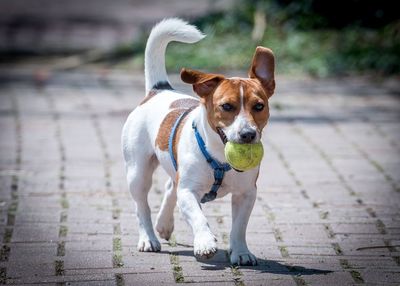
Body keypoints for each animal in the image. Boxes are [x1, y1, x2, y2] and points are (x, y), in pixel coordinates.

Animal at [120, 18, 274, 266]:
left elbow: (239, 227)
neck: (220, 157)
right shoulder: (188, 192)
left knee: (169, 186)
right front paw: (205, 242)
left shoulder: (246, 194)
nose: (248, 134)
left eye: (259, 106)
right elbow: (199, 218)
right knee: (141, 206)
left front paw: (241, 252)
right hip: (138, 172)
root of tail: (158, 90)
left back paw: (164, 224)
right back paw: (148, 238)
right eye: (227, 106)